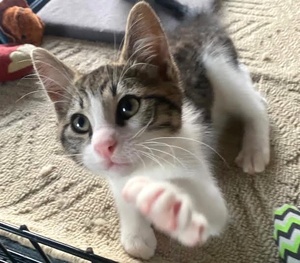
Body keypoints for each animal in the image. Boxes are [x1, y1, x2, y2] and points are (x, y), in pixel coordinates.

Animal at [30, 0, 270, 260]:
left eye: (128, 106)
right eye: (80, 123)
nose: (103, 146)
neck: (148, 165)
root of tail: (196, 18)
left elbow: (211, 208)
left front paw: (167, 201)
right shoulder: (115, 176)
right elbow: (124, 200)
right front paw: (136, 231)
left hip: (219, 64)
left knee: (253, 103)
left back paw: (255, 149)